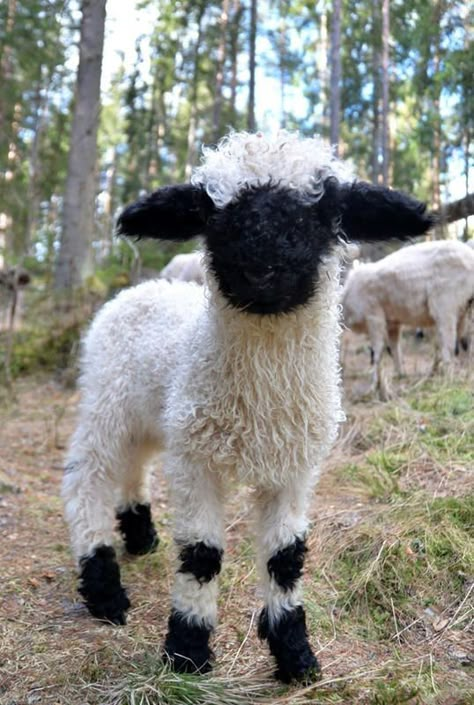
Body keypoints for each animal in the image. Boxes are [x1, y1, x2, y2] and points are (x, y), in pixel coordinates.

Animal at [62, 129, 434, 680]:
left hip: (152, 417)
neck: (261, 402)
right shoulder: (196, 459)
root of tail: (141, 288)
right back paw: (105, 590)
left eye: (324, 209)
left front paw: (296, 656)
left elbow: (286, 559)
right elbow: (202, 556)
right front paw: (187, 652)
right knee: (85, 477)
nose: (260, 269)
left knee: (135, 465)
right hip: (107, 402)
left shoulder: (295, 468)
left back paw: (141, 536)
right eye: (211, 212)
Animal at [342, 239, 472, 396]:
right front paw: (399, 374)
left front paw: (375, 387)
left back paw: (446, 382)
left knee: (449, 346)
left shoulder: (374, 316)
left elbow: (377, 353)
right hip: (465, 309)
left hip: (445, 305)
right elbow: (395, 348)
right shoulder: (392, 323)